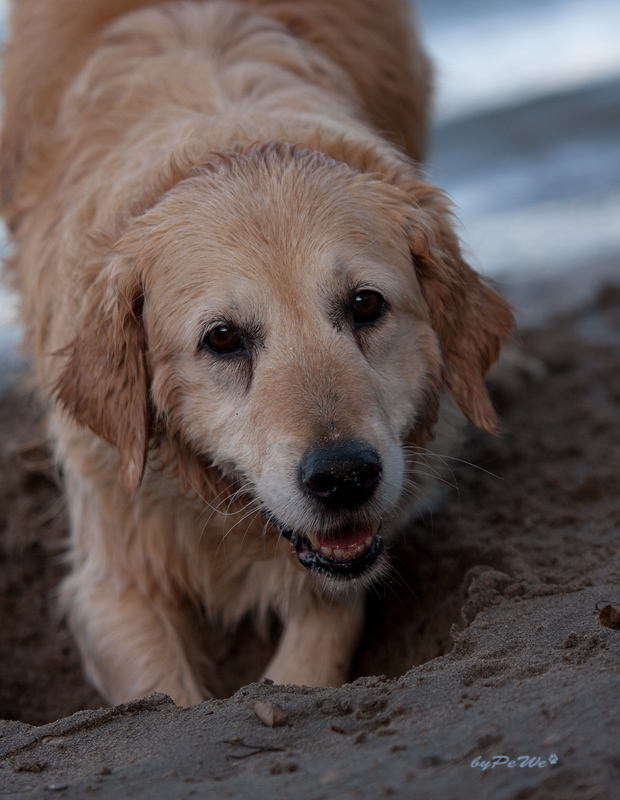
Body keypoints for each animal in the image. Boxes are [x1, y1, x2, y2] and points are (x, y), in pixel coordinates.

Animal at [0, 0, 512, 708]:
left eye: (366, 305)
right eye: (222, 339)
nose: (344, 478)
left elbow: (318, 637)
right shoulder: (113, 575)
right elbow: (168, 697)